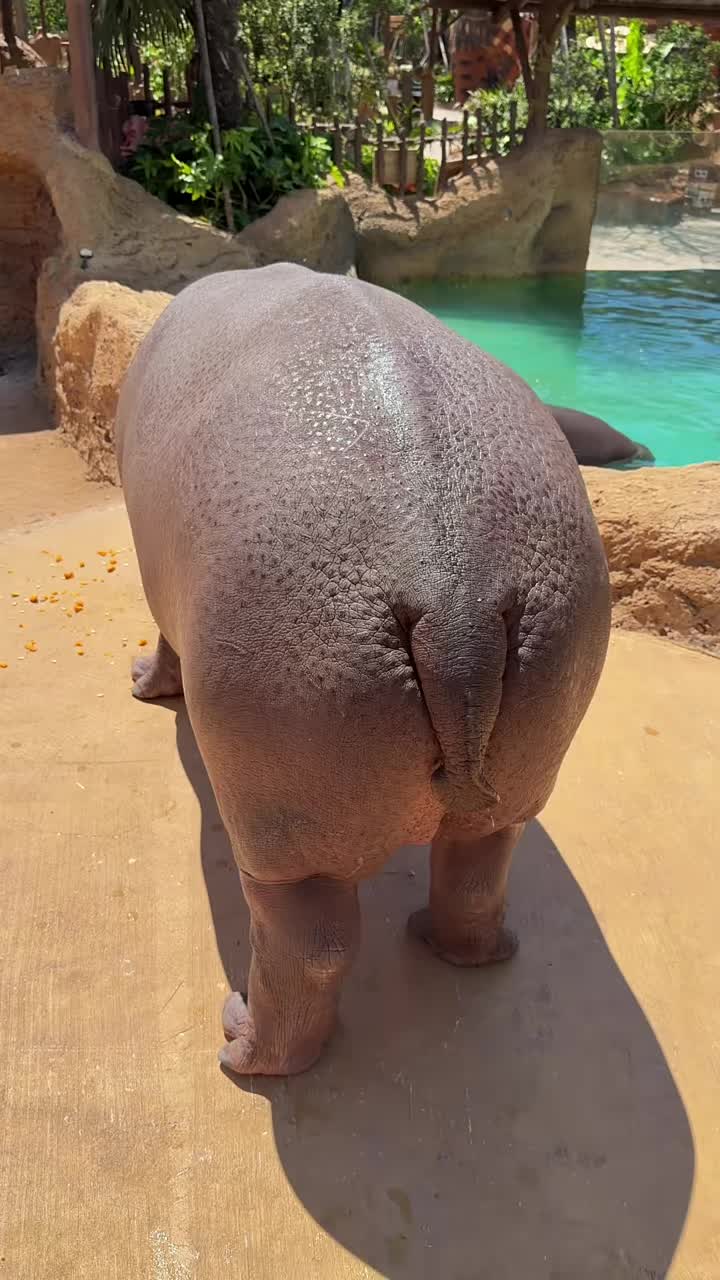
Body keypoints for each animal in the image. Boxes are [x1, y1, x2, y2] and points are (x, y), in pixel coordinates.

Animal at [116, 264, 610, 1076]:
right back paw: (469, 948)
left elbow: (162, 635)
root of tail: (455, 603)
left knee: (311, 948)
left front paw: (143, 684)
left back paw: (240, 1045)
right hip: (533, 725)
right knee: (477, 871)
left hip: (283, 828)